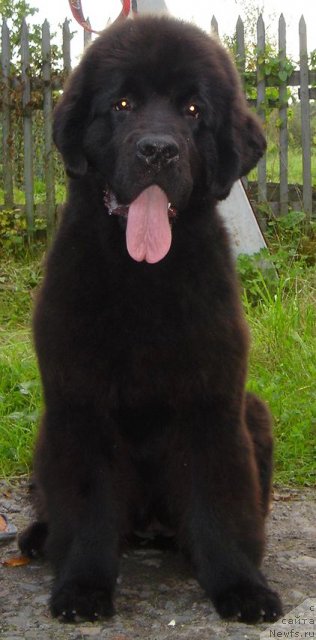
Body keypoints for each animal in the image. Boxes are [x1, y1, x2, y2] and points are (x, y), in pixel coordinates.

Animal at [18, 15, 282, 624]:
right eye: (122, 104)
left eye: (192, 110)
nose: (157, 150)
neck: (143, 277)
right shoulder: (79, 404)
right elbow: (88, 507)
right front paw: (82, 587)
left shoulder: (212, 401)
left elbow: (217, 502)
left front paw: (240, 585)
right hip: (47, 430)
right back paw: (39, 538)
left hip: (254, 411)